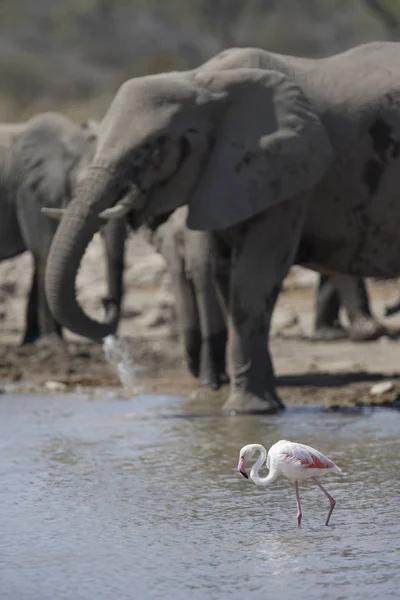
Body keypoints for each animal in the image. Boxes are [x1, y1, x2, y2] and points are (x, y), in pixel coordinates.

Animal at [0, 112, 126, 344]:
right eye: (80, 188)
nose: (107, 300)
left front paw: (36, 342)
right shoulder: (28, 190)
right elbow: (45, 250)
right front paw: (51, 342)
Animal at [43, 44, 400, 414]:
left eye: (151, 150)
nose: (106, 302)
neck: (202, 80)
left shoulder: (287, 176)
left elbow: (253, 278)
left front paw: (248, 411)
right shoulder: (227, 176)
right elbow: (225, 277)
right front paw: (262, 406)